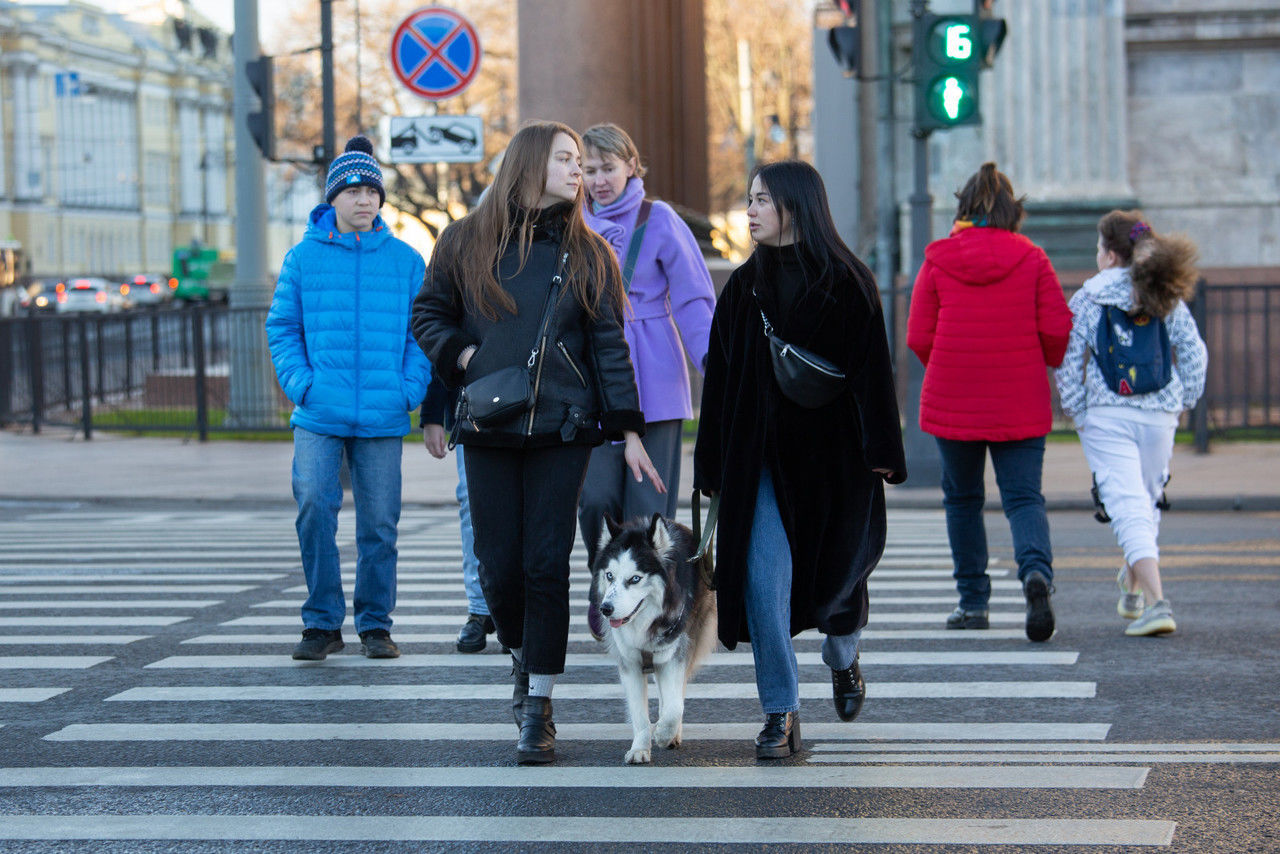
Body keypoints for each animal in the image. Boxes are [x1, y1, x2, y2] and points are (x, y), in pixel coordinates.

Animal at [591, 512, 721, 763]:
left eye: (634, 579)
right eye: (610, 576)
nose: (605, 609)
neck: (643, 622)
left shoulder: (674, 655)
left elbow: (675, 705)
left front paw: (663, 732)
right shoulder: (630, 663)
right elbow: (639, 715)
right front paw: (640, 749)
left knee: (675, 694)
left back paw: (672, 733)